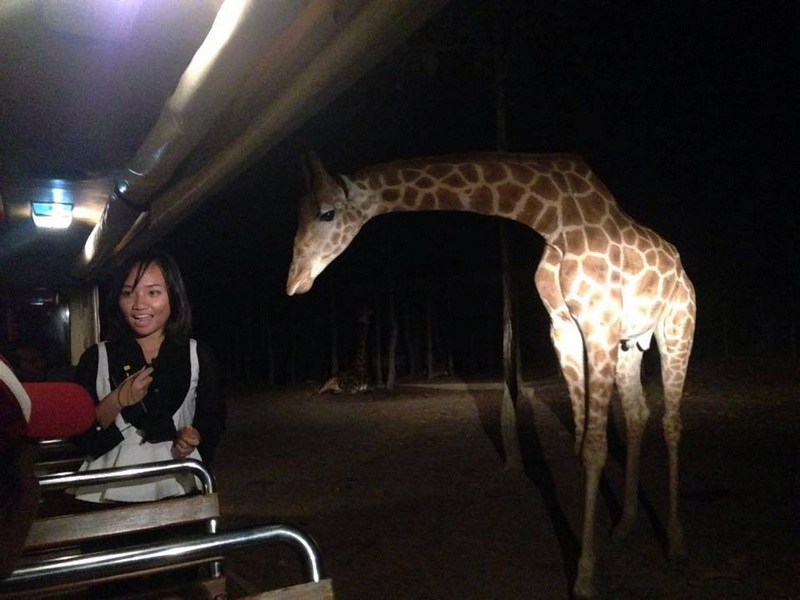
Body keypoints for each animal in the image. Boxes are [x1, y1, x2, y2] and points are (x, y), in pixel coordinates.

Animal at [286, 152, 696, 598]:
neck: (551, 219)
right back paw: (624, 525)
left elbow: (594, 446)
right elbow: (581, 442)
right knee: (637, 414)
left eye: (327, 213)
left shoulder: (598, 324)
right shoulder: (564, 330)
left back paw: (676, 546)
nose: (294, 282)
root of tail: (680, 265)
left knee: (672, 421)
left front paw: (585, 577)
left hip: (677, 324)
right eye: (297, 213)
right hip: (630, 344)